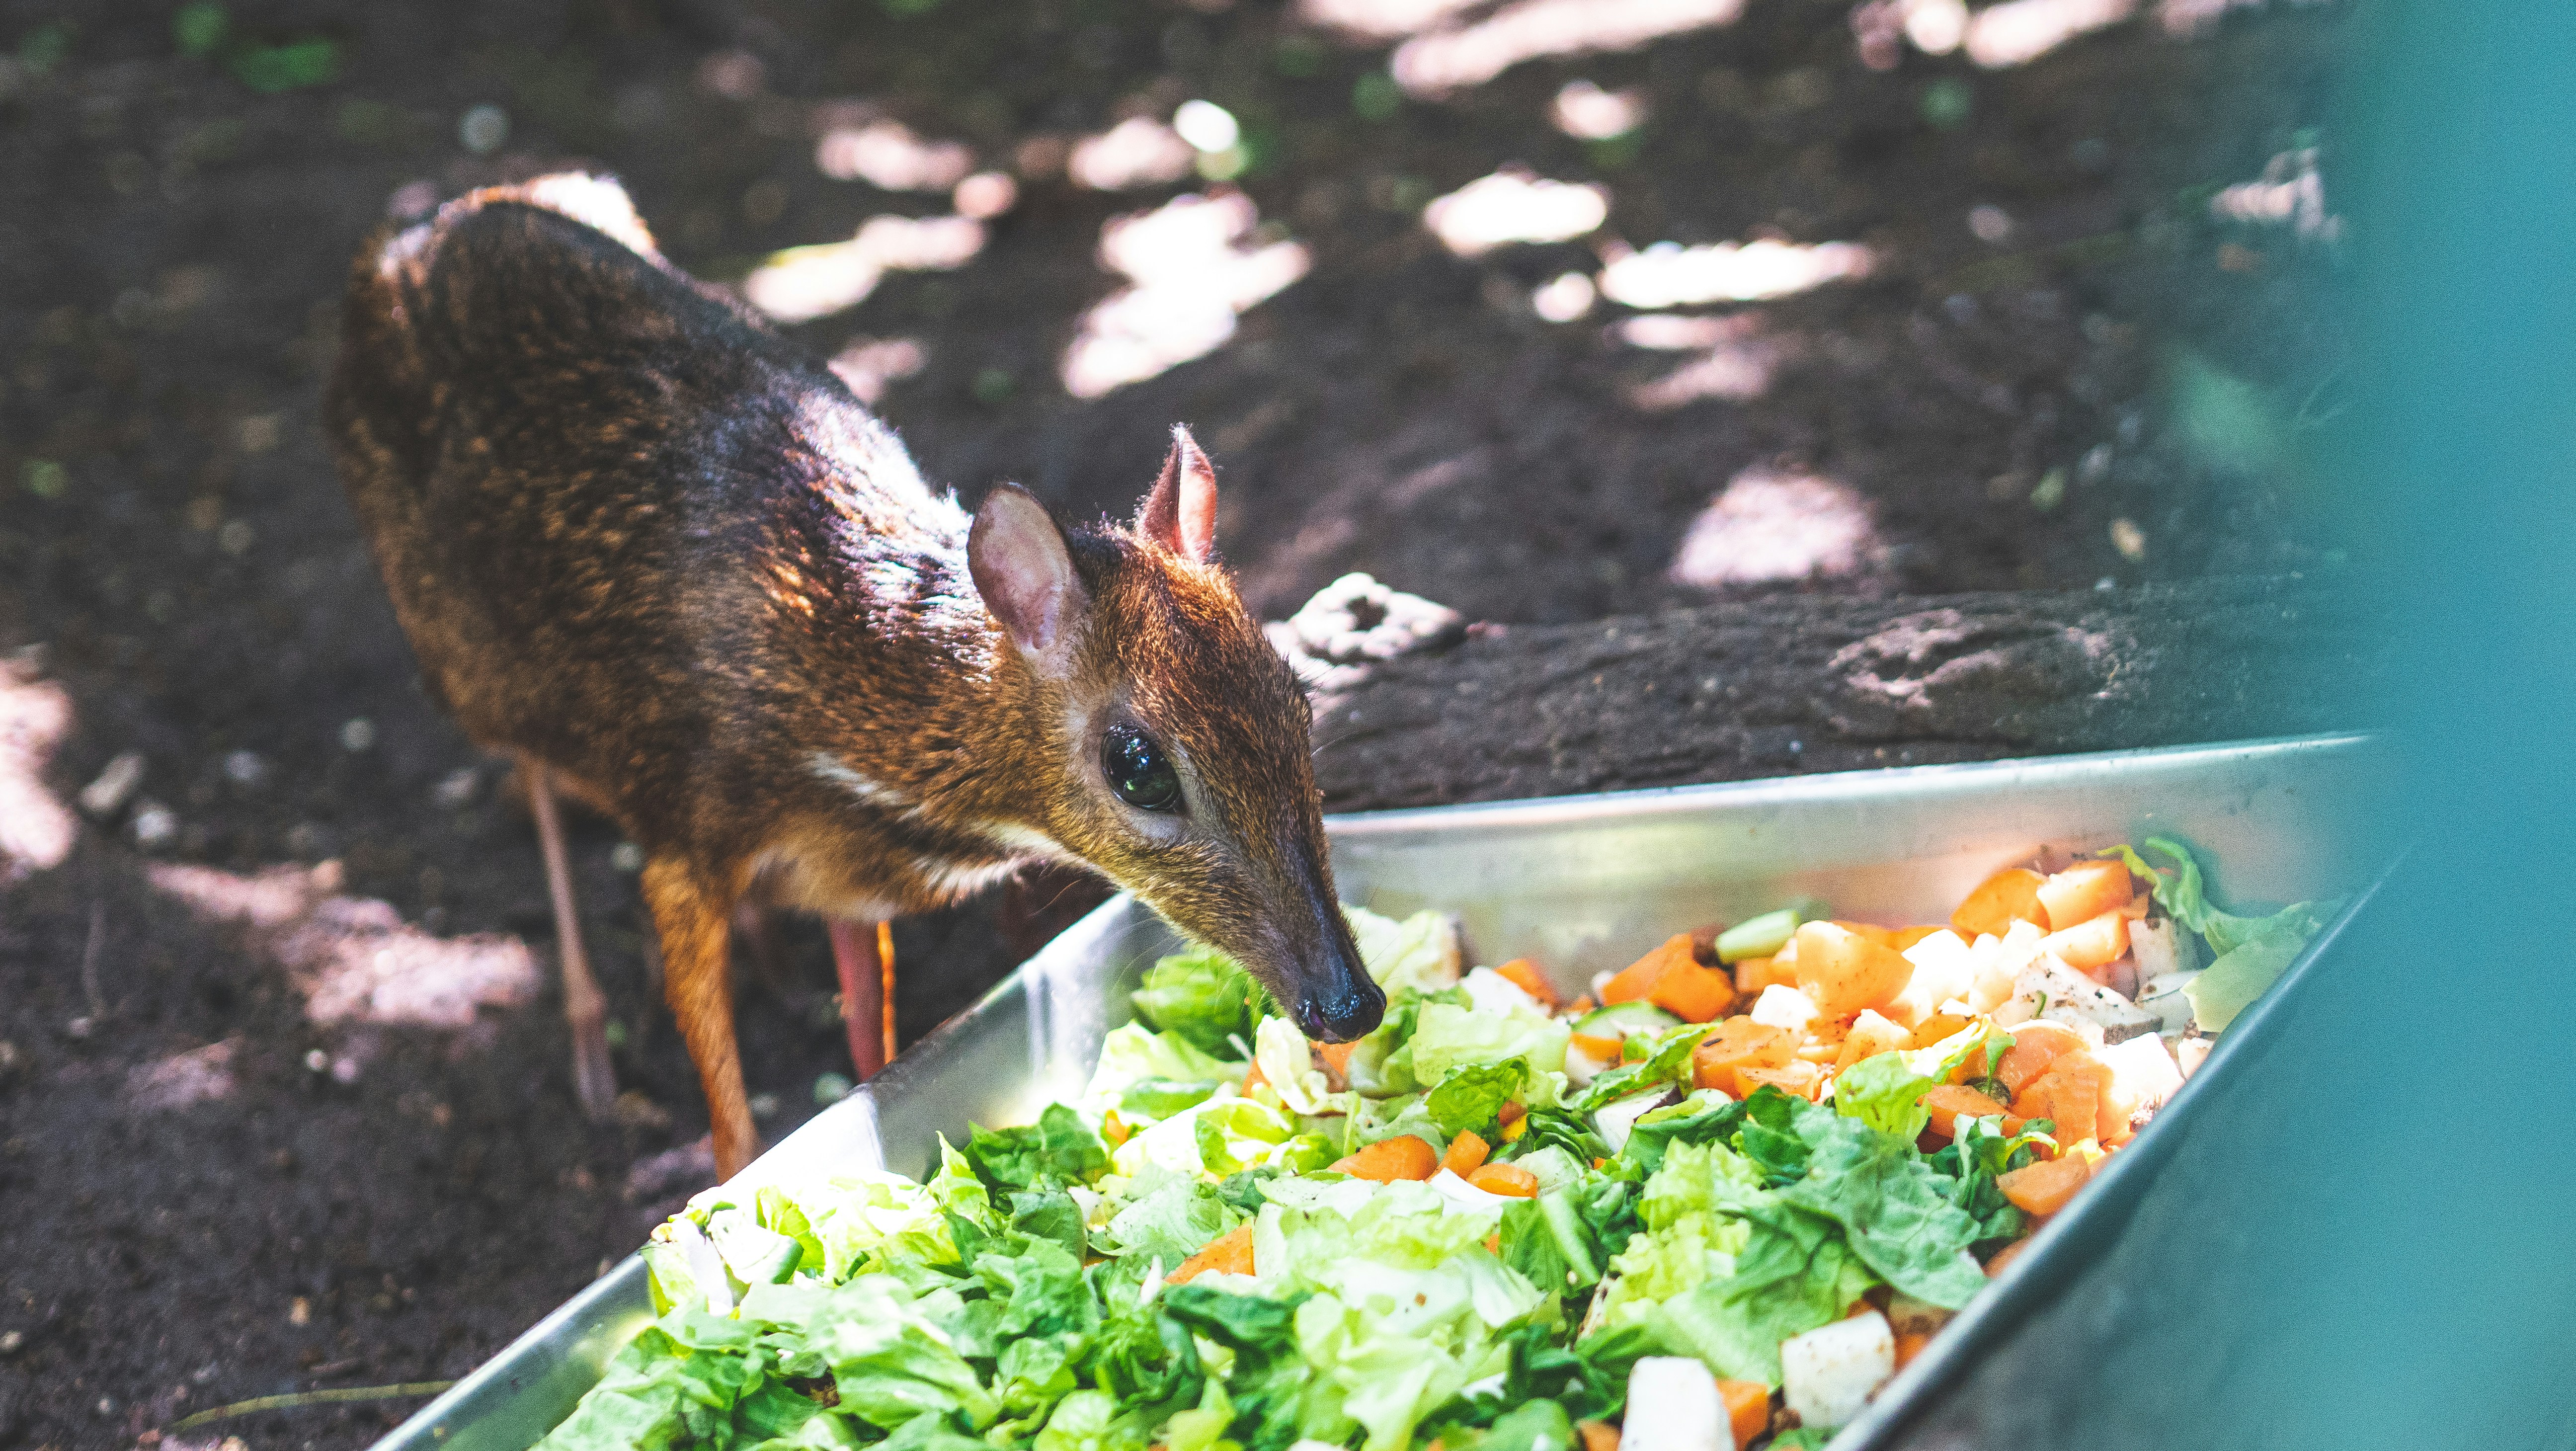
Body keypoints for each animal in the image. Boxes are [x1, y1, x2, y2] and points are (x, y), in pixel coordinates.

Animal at [325, 173, 1384, 1180]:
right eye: (1139, 769)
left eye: (1298, 700)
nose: (1348, 1003)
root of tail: (414, 229)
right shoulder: (683, 831)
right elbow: (733, 1127)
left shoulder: (849, 880)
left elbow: (874, 1051)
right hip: (455, 646)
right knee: (531, 774)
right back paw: (591, 1046)